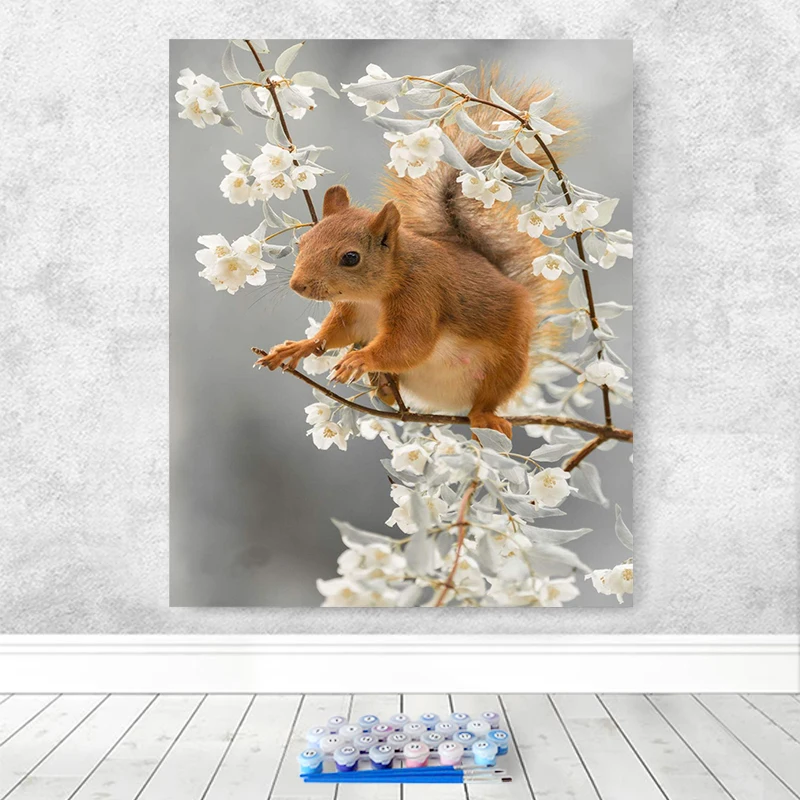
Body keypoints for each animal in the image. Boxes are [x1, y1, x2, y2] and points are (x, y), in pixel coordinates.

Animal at [257, 73, 574, 439]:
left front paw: (361, 359)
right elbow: (332, 335)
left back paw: (483, 416)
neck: (372, 298)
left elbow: (409, 344)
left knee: (489, 397)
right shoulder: (351, 313)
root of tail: (448, 404)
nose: (298, 285)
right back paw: (382, 387)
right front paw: (299, 346)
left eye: (350, 258)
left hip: (507, 363)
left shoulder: (422, 296)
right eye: (303, 242)